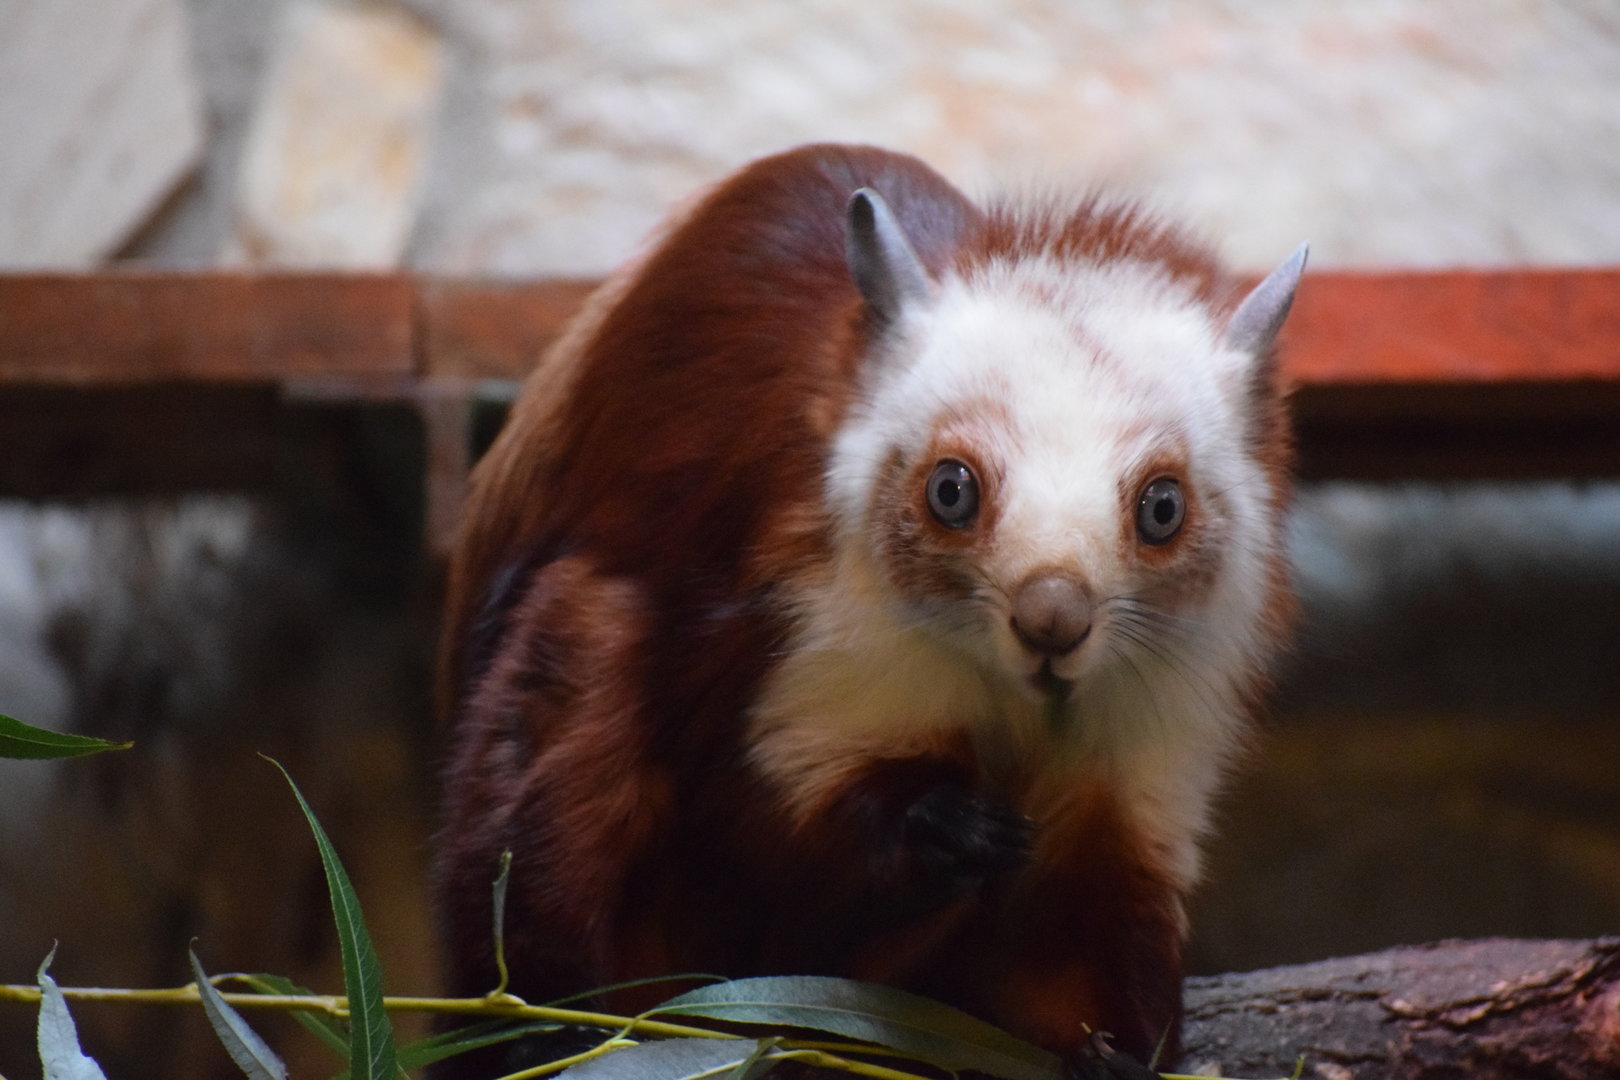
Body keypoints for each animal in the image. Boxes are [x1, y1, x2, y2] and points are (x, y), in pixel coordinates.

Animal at [435, 142, 1303, 1071]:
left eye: (1163, 506)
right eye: (952, 488)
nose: (1052, 620)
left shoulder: (1135, 779)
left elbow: (1088, 959)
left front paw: (1111, 1057)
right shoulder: (801, 673)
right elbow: (778, 881)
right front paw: (949, 830)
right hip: (577, 656)